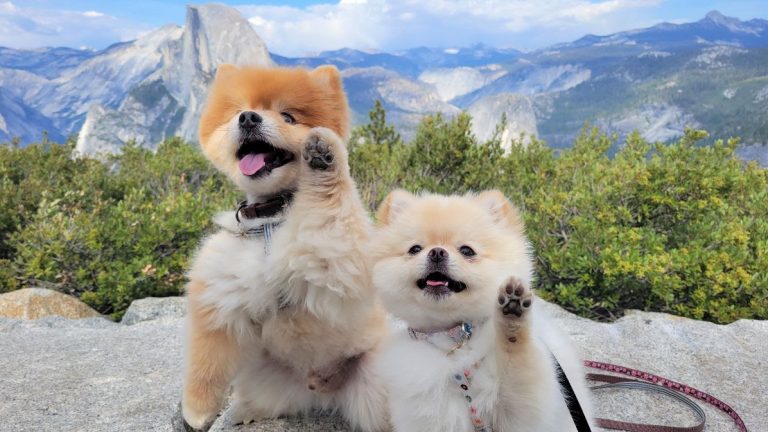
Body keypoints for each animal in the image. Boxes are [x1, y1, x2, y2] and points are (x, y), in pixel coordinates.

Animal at [182, 65, 390, 432]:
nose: (248, 118)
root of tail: (322, 390)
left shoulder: (334, 255)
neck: (269, 220)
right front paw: (197, 411)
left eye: (289, 117)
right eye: (238, 111)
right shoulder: (221, 299)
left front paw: (323, 156)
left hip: (378, 378)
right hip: (266, 377)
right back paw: (242, 412)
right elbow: (207, 361)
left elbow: (331, 203)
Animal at [372, 191, 592, 430]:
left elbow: (518, 365)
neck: (455, 339)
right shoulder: (424, 412)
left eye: (467, 251)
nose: (437, 252)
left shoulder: (520, 411)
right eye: (415, 249)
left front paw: (512, 319)